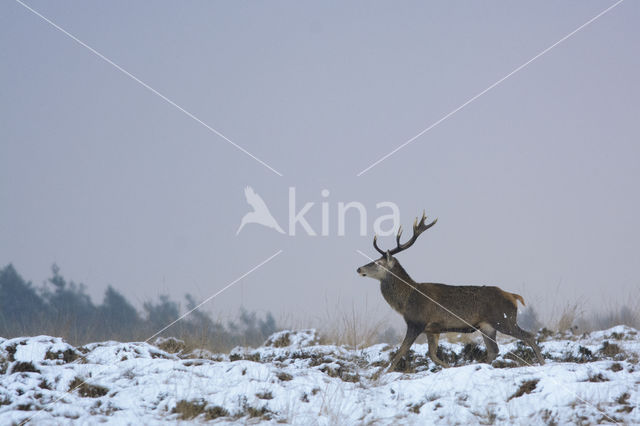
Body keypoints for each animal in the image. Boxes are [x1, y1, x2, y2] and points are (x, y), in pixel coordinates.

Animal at [358, 211, 544, 372]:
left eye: (377, 263)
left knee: (529, 336)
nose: (359, 269)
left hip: (504, 319)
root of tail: (513, 296)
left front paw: (383, 374)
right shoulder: (432, 329)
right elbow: (432, 355)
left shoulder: (416, 322)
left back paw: (542, 363)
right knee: (494, 350)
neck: (406, 301)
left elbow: (401, 352)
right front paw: (449, 368)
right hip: (487, 326)